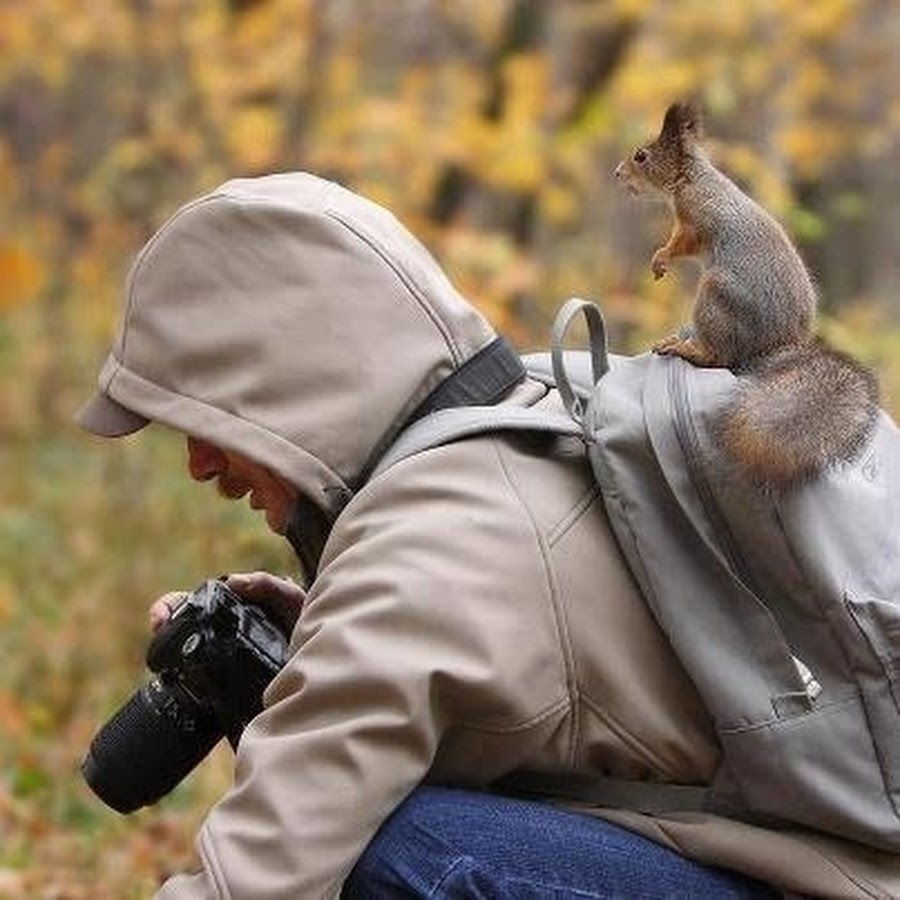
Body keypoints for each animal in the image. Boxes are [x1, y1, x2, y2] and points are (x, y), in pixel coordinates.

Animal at [612, 100, 880, 486]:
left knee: (719, 357)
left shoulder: (695, 222)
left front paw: (660, 259)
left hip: (717, 298)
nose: (617, 173)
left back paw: (684, 347)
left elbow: (680, 244)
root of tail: (776, 346)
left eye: (641, 156)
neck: (693, 179)